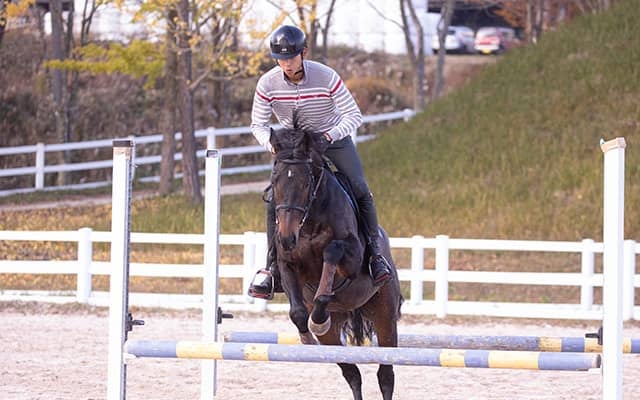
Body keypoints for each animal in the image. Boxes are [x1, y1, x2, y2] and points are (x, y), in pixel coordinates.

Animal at [268, 126, 404, 400]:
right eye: (275, 182)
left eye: (305, 183)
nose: (286, 238)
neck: (309, 222)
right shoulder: (287, 265)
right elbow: (298, 311)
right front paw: (308, 335)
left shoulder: (350, 259)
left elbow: (331, 255)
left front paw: (319, 318)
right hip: (334, 336)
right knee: (352, 373)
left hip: (385, 316)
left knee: (386, 375)